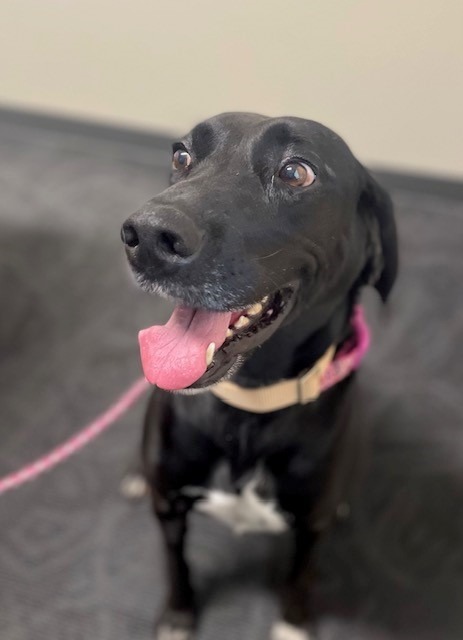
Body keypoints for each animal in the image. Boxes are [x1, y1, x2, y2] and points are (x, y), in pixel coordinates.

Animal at [121, 114, 396, 640]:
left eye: (295, 172)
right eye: (181, 156)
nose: (145, 235)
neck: (249, 405)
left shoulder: (311, 526)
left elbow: (300, 578)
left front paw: (292, 625)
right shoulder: (170, 508)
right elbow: (176, 564)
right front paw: (178, 617)